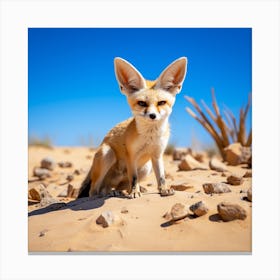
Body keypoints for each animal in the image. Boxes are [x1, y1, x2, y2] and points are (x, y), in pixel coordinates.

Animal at [78, 55, 188, 198]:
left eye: (161, 103)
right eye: (142, 103)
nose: (152, 115)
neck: (150, 137)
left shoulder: (157, 154)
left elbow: (161, 177)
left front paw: (163, 189)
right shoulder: (131, 155)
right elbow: (134, 178)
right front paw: (135, 192)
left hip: (146, 168)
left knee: (112, 187)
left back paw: (119, 191)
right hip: (107, 154)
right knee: (94, 191)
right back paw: (106, 194)